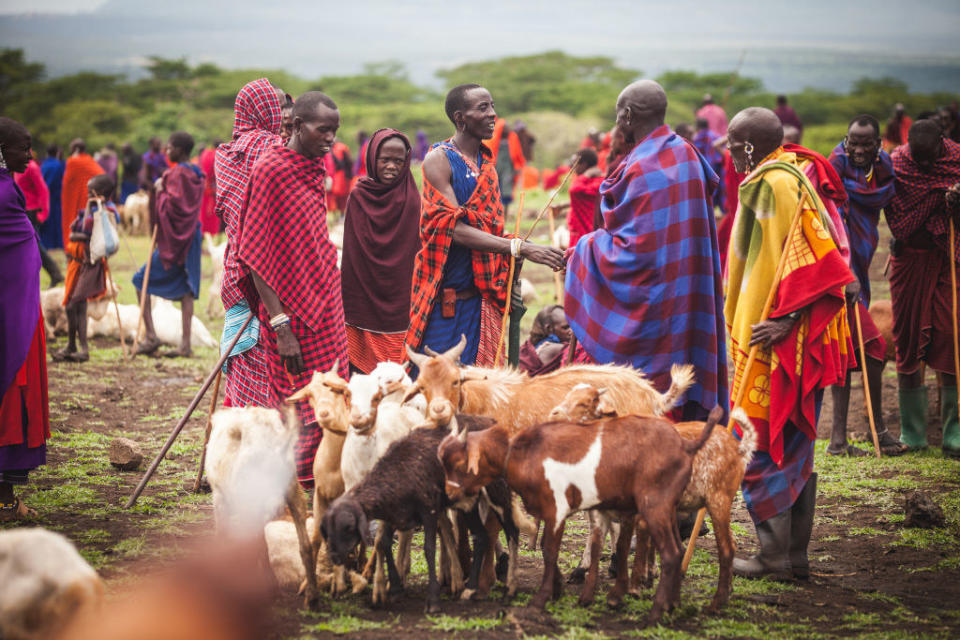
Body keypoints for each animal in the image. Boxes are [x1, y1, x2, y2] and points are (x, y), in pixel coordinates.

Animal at [436, 410, 720, 624]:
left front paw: (541, 599)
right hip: (666, 509)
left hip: (654, 507)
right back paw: (673, 605)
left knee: (671, 554)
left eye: (459, 464)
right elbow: (546, 548)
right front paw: (558, 590)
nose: (448, 493)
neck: (524, 453)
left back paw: (655, 613)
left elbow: (549, 551)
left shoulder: (557, 509)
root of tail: (685, 445)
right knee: (679, 550)